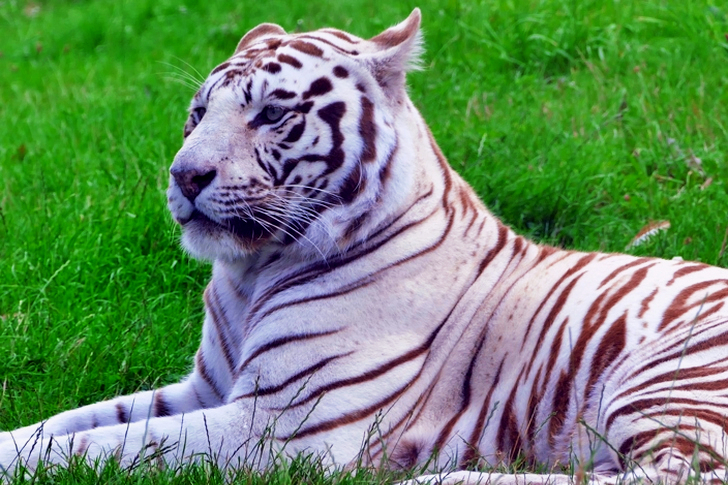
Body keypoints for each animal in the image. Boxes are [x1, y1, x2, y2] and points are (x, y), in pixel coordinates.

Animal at [2, 8, 728, 485]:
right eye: (198, 113)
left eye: (271, 113)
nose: (184, 175)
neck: (250, 272)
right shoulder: (205, 389)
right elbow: (74, 420)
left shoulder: (275, 425)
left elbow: (107, 445)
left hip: (664, 379)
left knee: (672, 474)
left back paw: (440, 476)